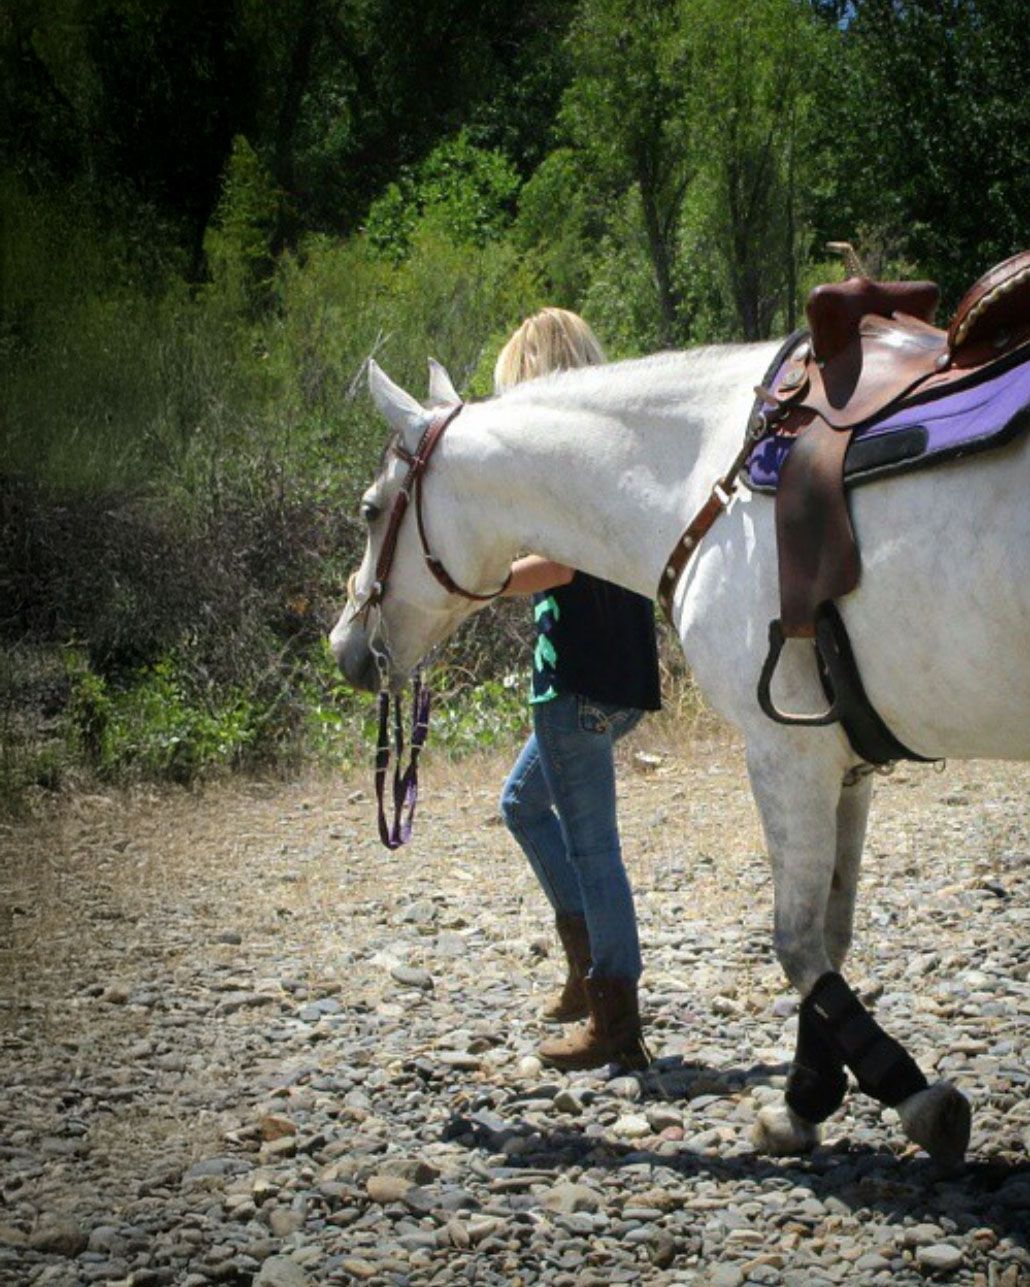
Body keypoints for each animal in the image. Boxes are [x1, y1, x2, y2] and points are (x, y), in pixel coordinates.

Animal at [330, 345, 1029, 1169]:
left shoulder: (786, 753)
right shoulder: (847, 767)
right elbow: (829, 937)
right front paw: (802, 1104)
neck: (707, 483)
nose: (345, 649)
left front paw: (909, 1096)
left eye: (372, 510)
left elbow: (795, 943)